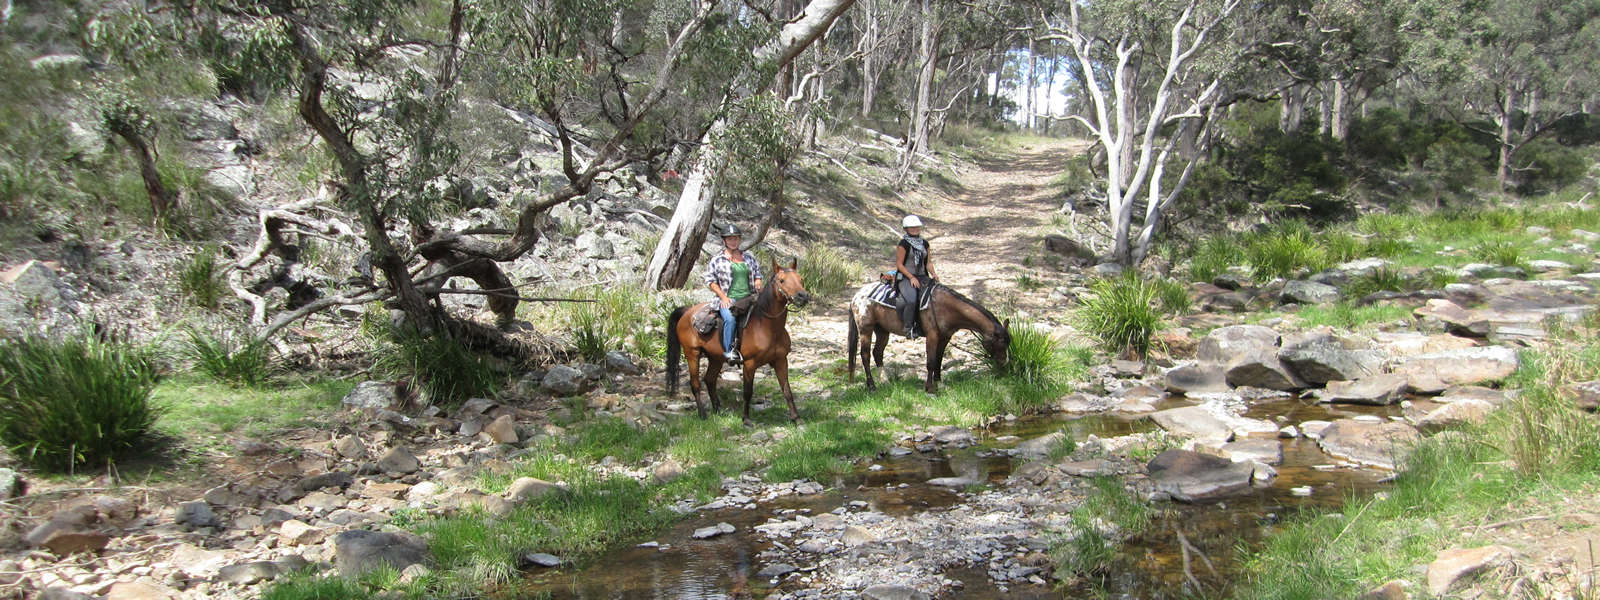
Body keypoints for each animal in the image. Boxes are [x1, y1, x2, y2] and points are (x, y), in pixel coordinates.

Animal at [665, 256, 812, 425]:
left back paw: (718, 409)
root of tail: (687, 311)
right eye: (782, 280)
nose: (803, 296)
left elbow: (787, 390)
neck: (766, 325)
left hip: (715, 358)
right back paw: (702, 413)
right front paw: (746, 419)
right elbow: (747, 392)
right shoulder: (749, 364)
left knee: (709, 380)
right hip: (692, 354)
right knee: (695, 383)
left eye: (800, 279)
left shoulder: (781, 360)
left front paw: (797, 418)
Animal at [844, 283, 1004, 395]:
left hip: (882, 331)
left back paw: (885, 381)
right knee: (865, 356)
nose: (1005, 363)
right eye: (1001, 342)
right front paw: (930, 388)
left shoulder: (945, 337)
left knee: (877, 353)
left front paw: (939, 383)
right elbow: (931, 362)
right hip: (866, 330)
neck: (944, 306)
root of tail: (856, 296)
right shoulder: (932, 336)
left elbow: (939, 360)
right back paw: (872, 386)